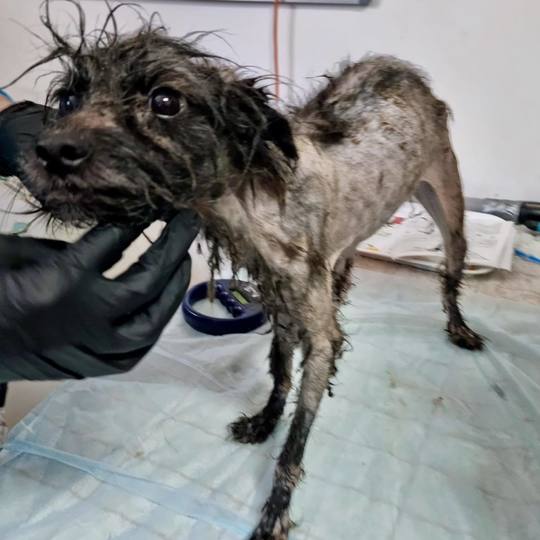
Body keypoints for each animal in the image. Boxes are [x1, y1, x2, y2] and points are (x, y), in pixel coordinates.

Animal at [21, 4, 483, 538]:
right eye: (68, 98)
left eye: (166, 101)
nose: (52, 151)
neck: (251, 199)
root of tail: (401, 69)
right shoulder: (280, 300)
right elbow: (280, 372)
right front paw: (266, 420)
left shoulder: (316, 327)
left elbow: (299, 430)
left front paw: (276, 507)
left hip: (450, 210)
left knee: (449, 277)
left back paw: (459, 327)